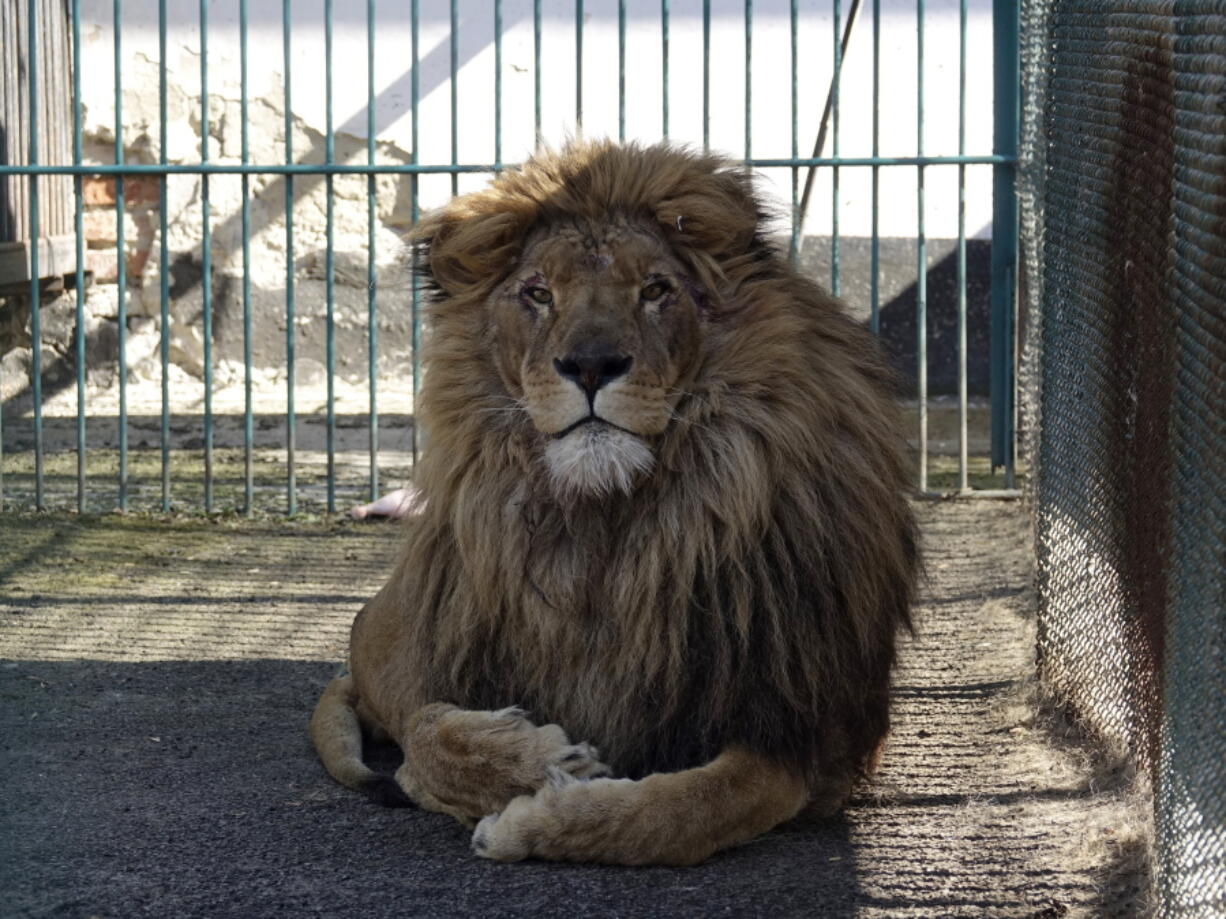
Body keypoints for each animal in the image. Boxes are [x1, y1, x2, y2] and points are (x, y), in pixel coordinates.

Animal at [311, 140, 917, 867]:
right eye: (538, 293)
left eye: (655, 289)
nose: (591, 365)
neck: (614, 524)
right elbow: (427, 737)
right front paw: (542, 762)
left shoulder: (806, 732)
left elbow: (678, 812)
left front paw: (530, 822)